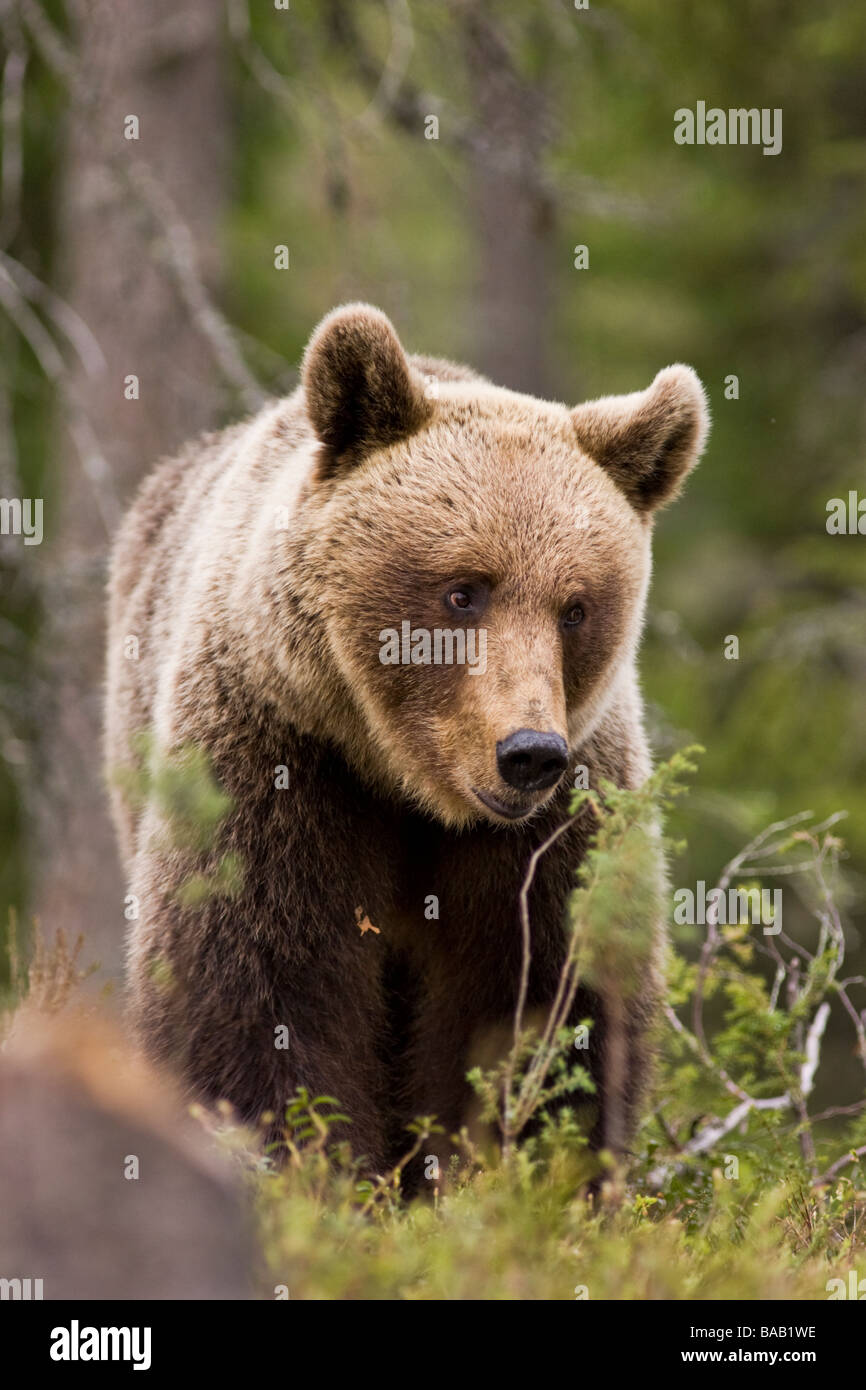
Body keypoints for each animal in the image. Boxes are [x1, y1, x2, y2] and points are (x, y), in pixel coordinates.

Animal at [105, 303, 709, 1174]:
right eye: (464, 590)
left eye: (576, 607)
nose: (528, 753)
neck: (407, 780)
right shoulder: (278, 758)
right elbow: (256, 987)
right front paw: (305, 1164)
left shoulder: (555, 829)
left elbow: (544, 1003)